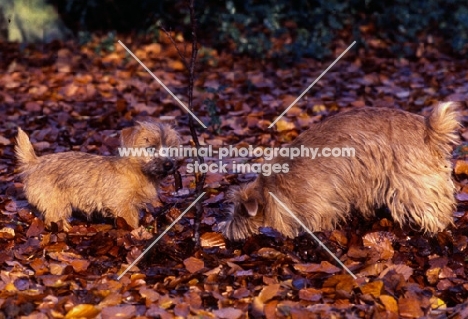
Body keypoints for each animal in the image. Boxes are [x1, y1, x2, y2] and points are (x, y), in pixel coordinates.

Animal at [14, 121, 179, 231]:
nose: (169, 165)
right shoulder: (122, 205)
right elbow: (131, 222)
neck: (138, 171)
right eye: (150, 149)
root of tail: (35, 162)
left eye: (171, 149)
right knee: (53, 219)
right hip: (57, 202)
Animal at [222, 104, 460, 241]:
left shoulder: (315, 208)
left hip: (413, 184)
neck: (271, 191)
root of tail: (427, 129)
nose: (225, 230)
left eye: (239, 214)